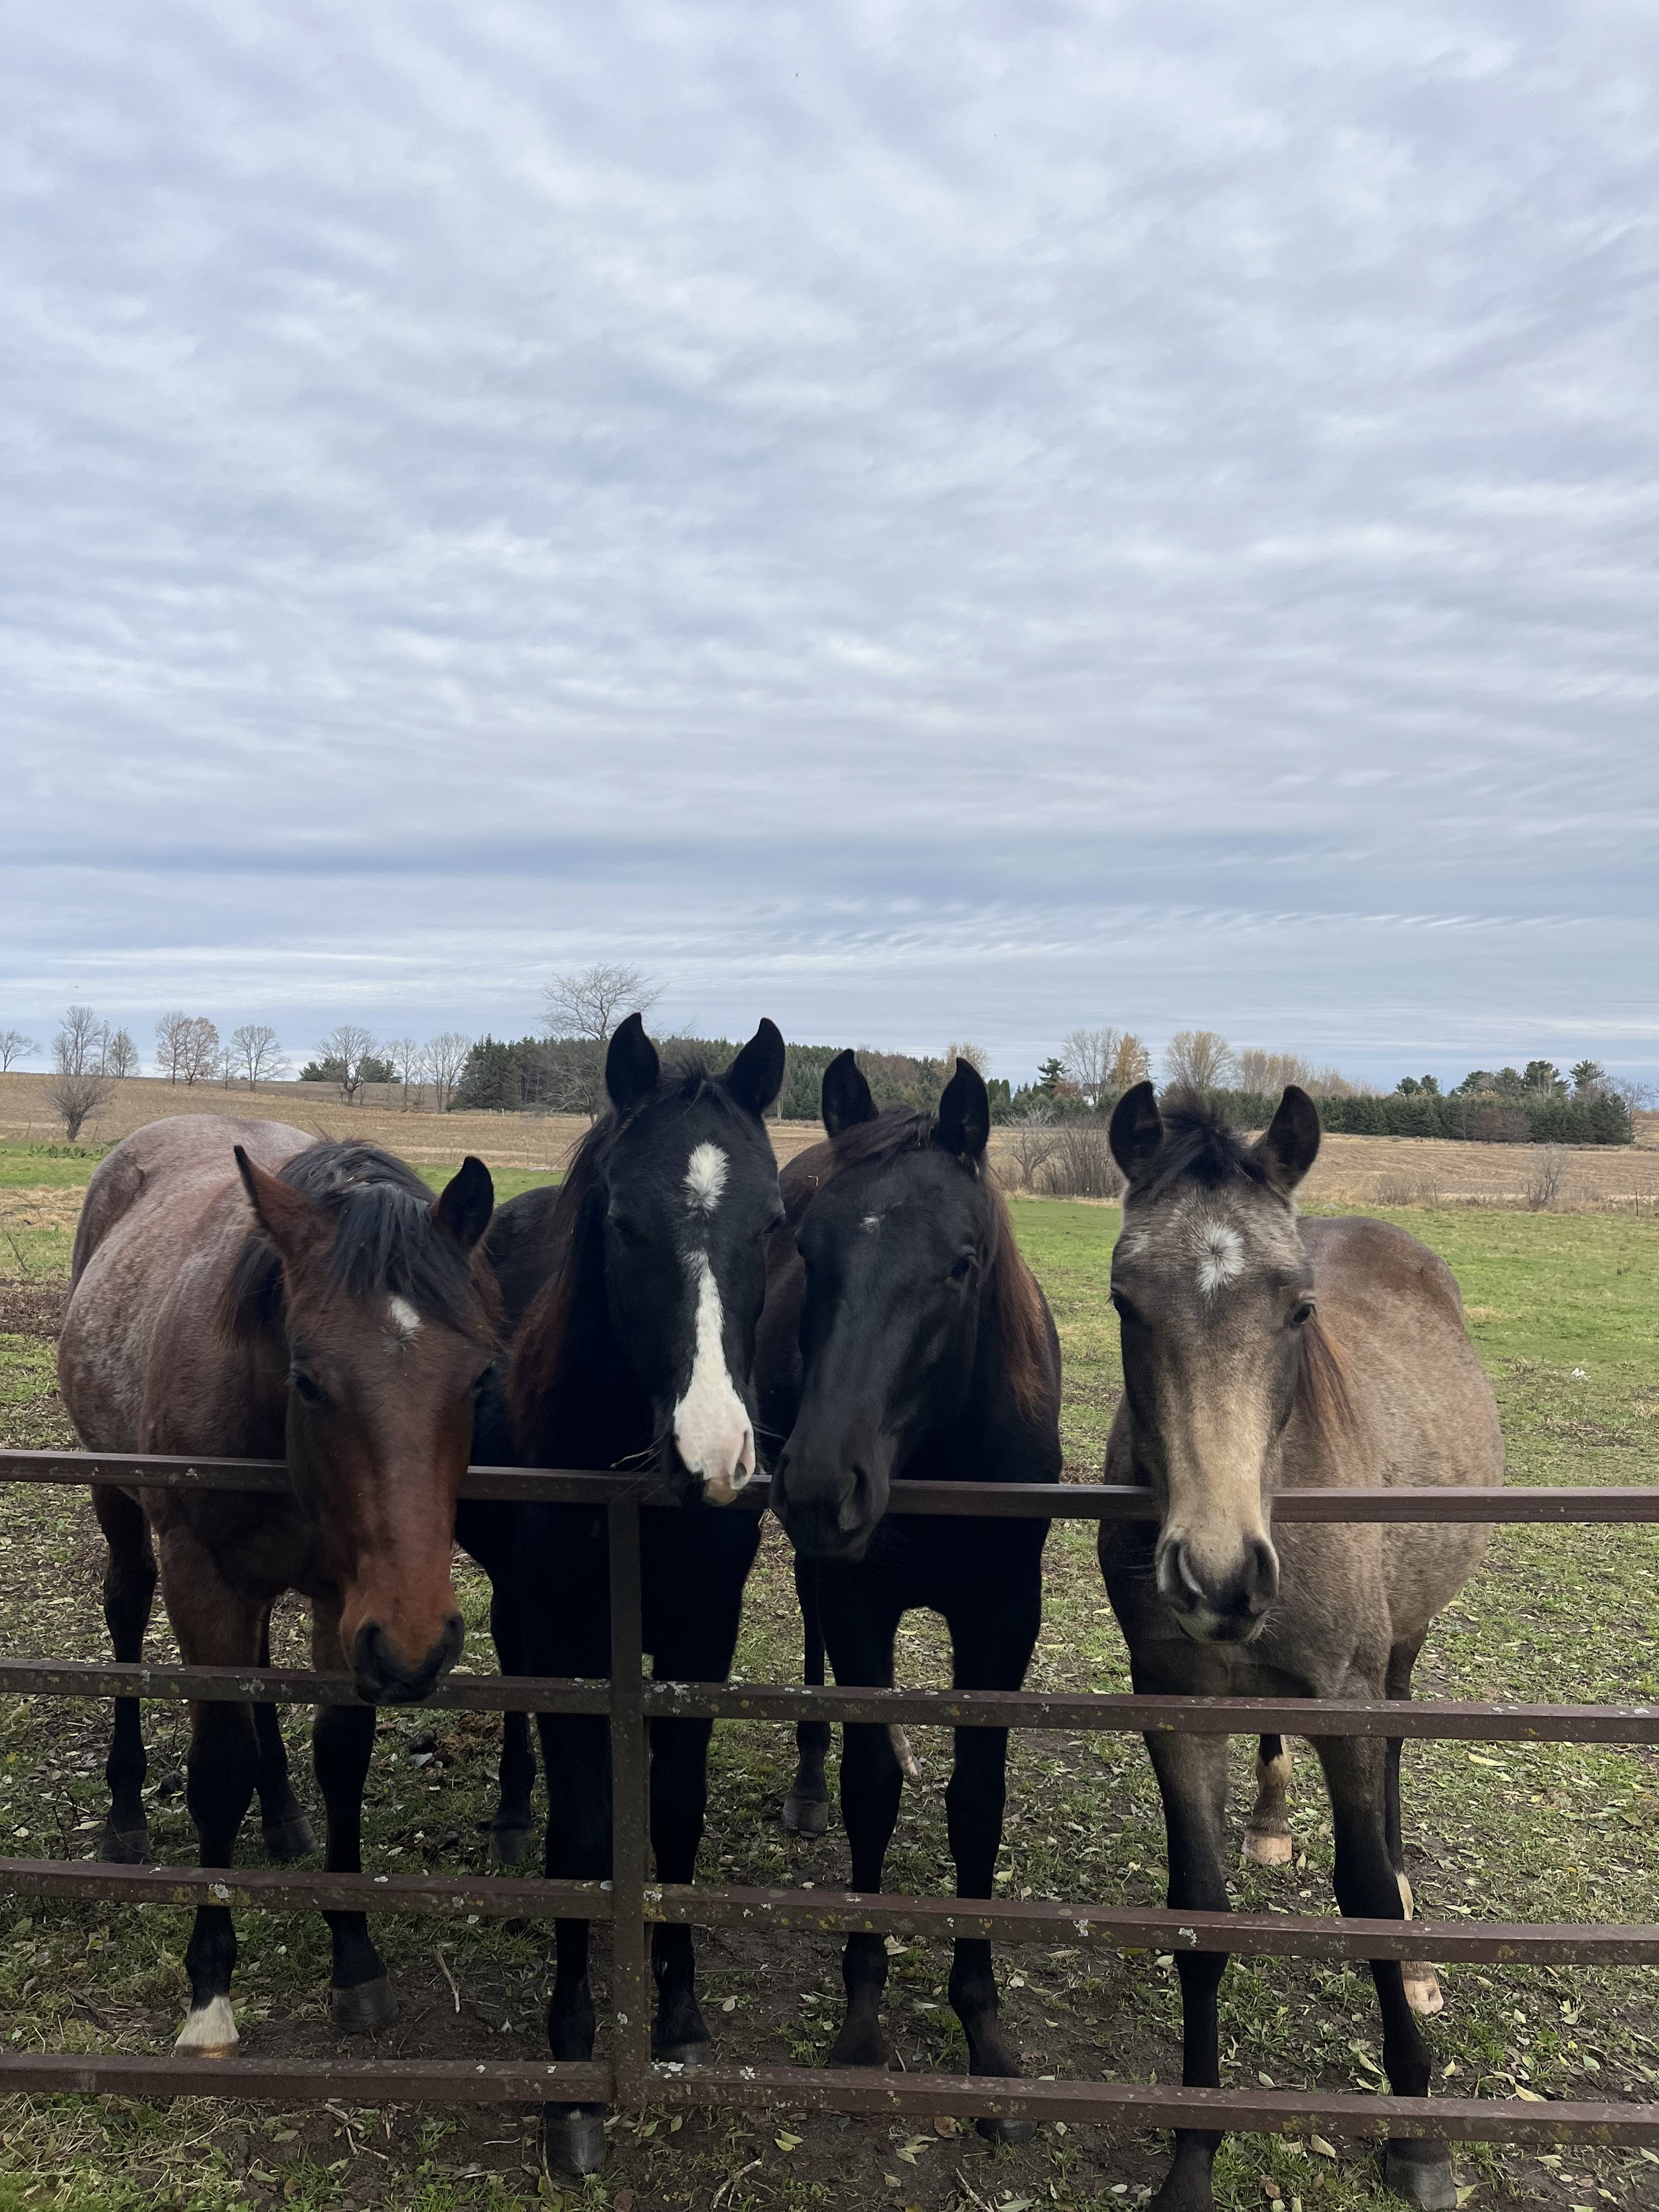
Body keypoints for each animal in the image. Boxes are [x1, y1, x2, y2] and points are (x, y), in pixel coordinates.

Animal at [56, 1118, 496, 2058]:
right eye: (309, 1378)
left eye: (480, 1378)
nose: (420, 1645)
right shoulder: (202, 1578)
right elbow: (218, 1768)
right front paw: (210, 1991)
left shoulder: (348, 1603)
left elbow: (342, 1755)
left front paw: (355, 1954)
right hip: (120, 1501)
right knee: (124, 1609)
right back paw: (124, 1816)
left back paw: (284, 1811)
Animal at [759, 1052, 1062, 2134]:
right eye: (807, 1249)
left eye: (961, 1263)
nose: (820, 1484)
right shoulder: (862, 1602)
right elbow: (871, 1790)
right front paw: (861, 2014)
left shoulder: (1004, 1618)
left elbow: (978, 1803)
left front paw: (982, 2024)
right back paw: (806, 1777)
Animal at [1098, 1083, 1502, 2212]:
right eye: (1127, 1303)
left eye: (1297, 1310)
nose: (1218, 1574)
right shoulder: (1175, 1706)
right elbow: (1198, 1913)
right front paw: (1193, 2153)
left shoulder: (1347, 1695)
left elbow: (1362, 1893)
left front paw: (1418, 2138)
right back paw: (1274, 1817)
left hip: (1400, 1650)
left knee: (1396, 1766)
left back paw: (1415, 1943)